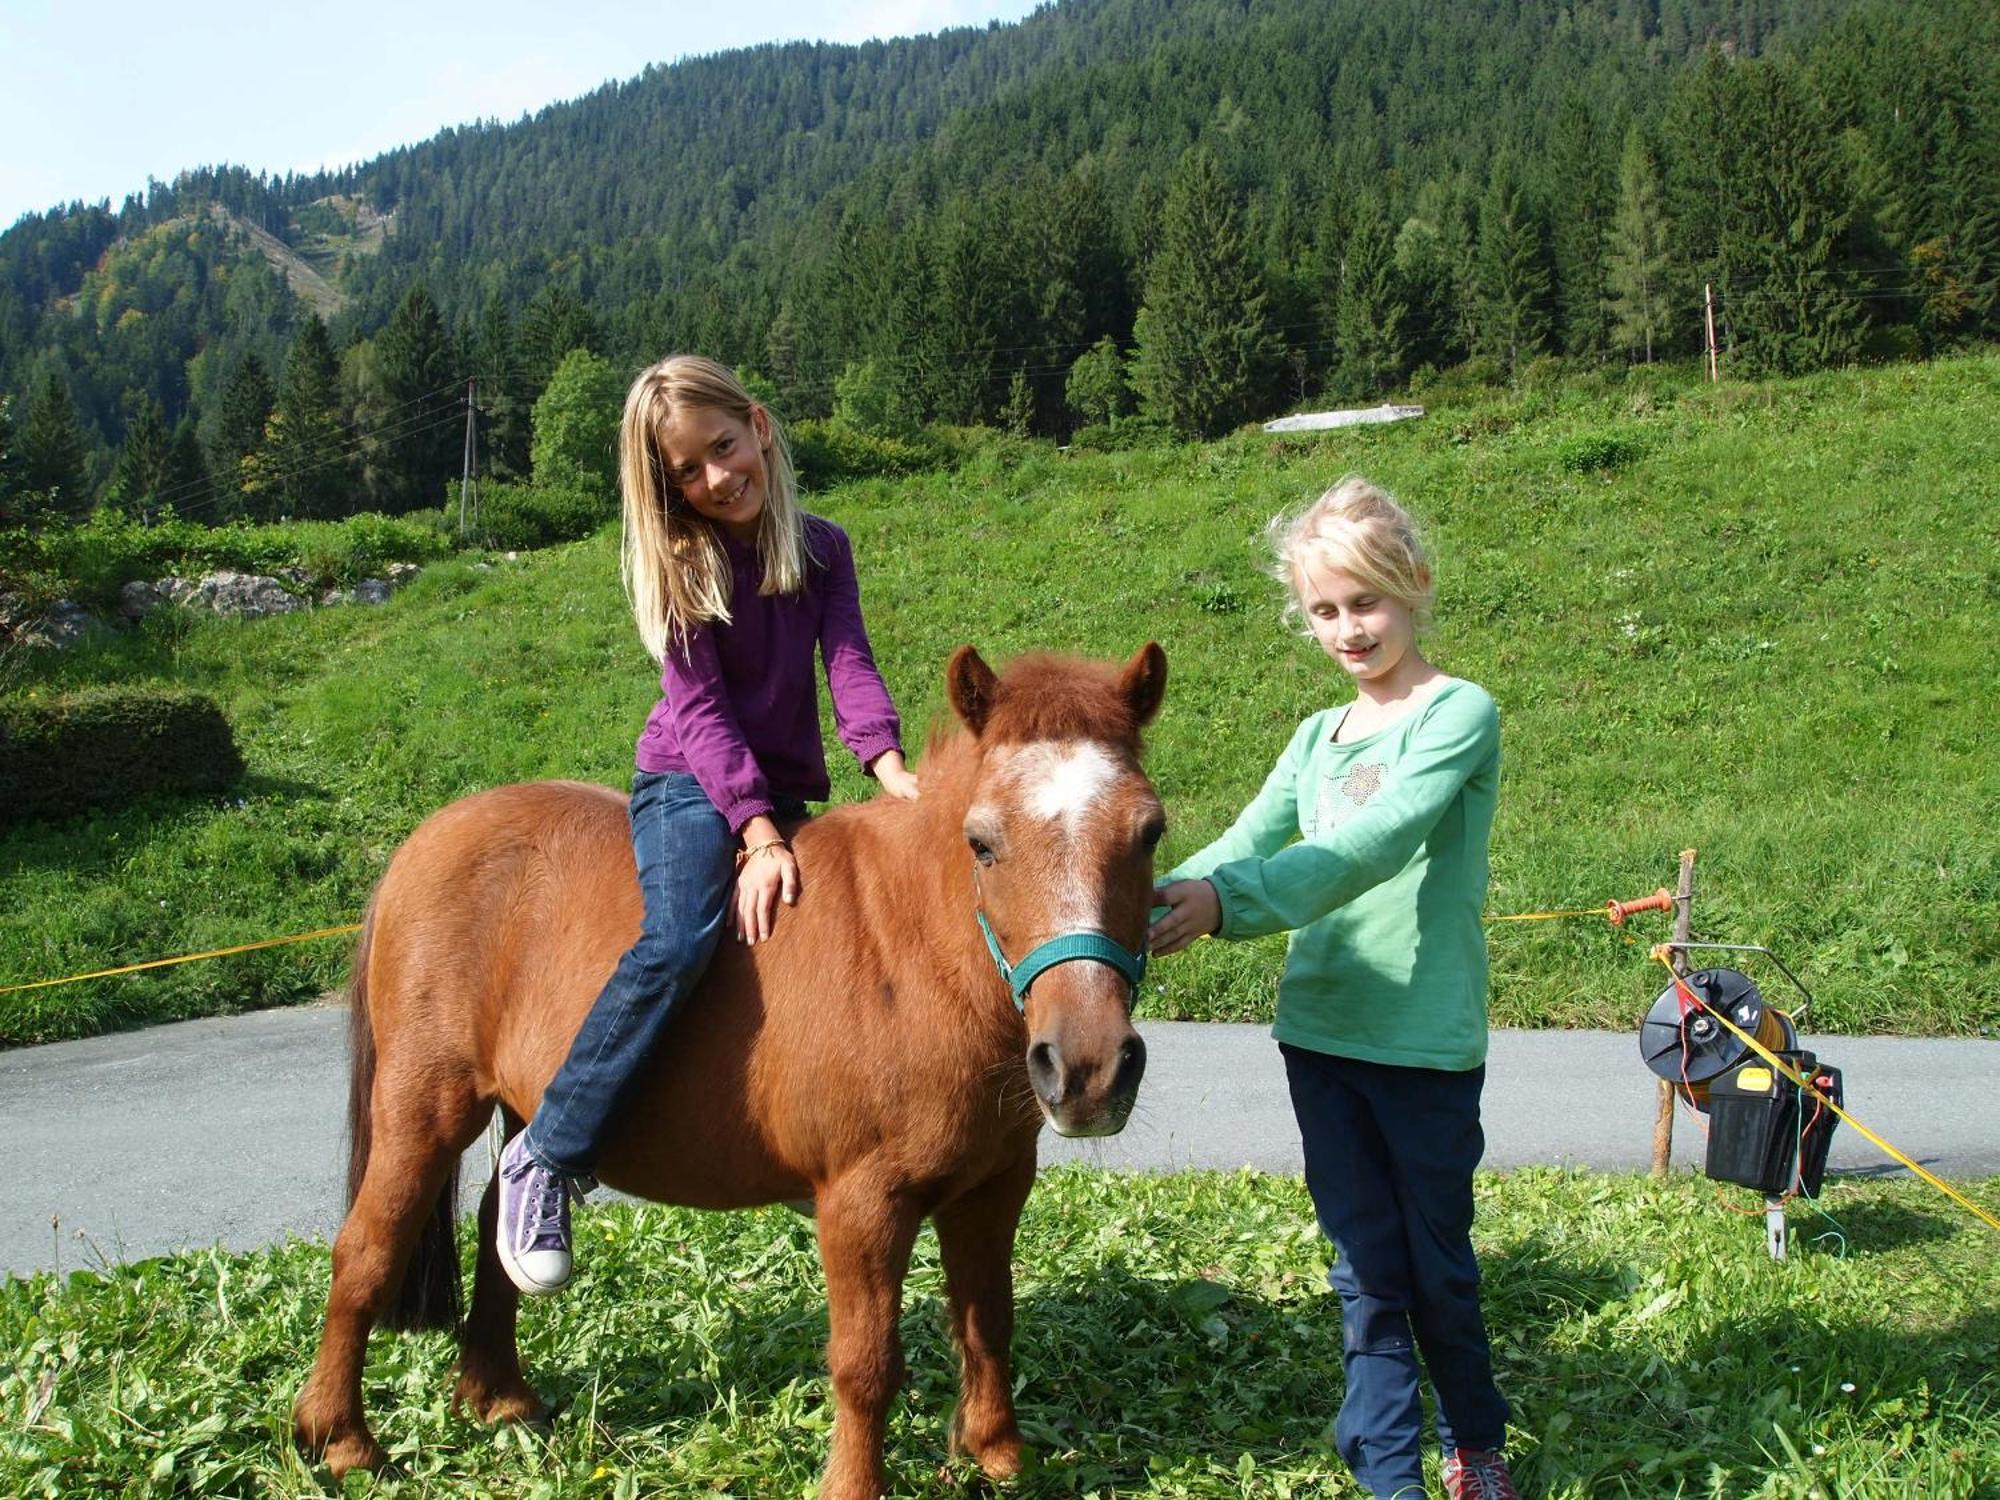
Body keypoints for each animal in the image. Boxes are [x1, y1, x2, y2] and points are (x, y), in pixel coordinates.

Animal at [292, 644, 1168, 1500]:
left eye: (1150, 832)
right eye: (982, 841)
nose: (1088, 1065)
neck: (915, 951)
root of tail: (425, 841)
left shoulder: (992, 1187)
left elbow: (988, 1322)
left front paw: (995, 1455)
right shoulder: (862, 1202)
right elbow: (865, 1362)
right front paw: (854, 1483)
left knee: (493, 1218)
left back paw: (499, 1394)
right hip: (424, 1105)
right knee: (366, 1249)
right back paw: (340, 1438)